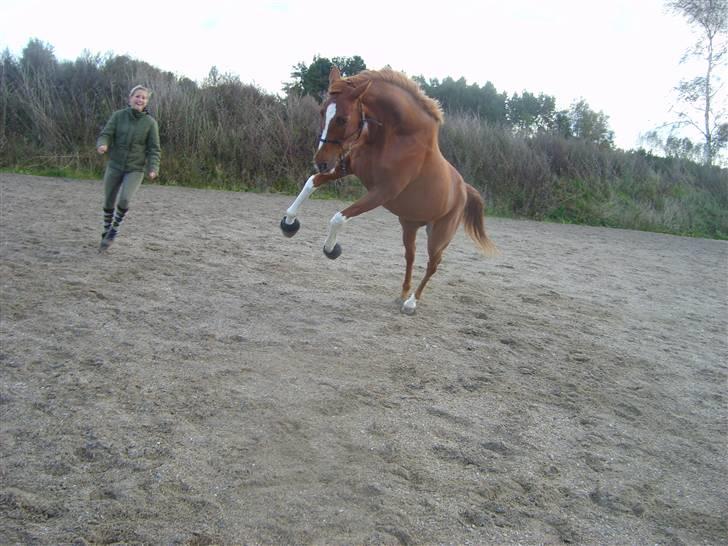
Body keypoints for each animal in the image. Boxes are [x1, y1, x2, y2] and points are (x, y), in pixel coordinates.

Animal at [278, 67, 494, 314]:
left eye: (342, 118)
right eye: (322, 111)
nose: (321, 162)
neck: (395, 138)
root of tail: (464, 189)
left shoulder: (382, 192)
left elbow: (338, 218)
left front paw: (332, 249)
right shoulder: (345, 168)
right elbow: (310, 183)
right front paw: (289, 223)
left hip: (439, 236)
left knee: (433, 264)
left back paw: (411, 303)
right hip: (409, 226)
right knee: (410, 256)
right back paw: (402, 295)